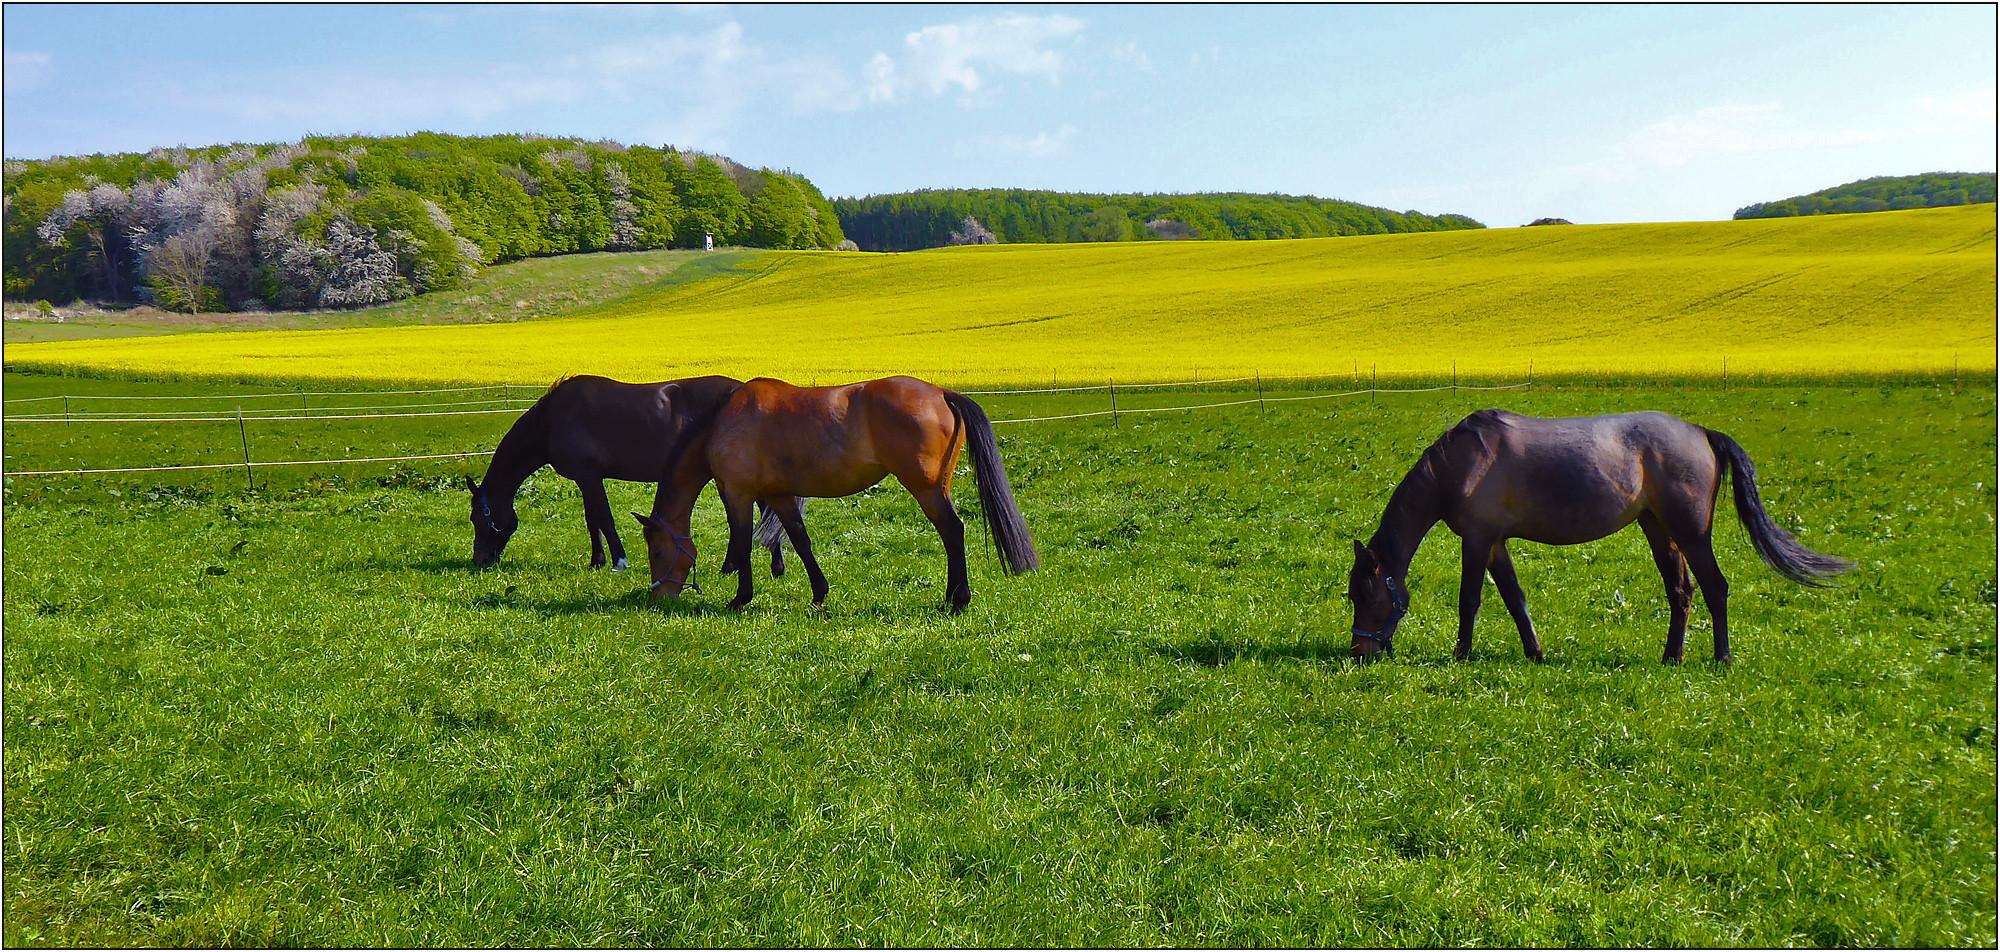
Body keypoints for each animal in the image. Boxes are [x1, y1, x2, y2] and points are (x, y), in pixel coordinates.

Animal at [470, 376, 796, 572]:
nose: (480, 561)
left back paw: (765, 566)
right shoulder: (586, 478)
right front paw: (597, 561)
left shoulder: (588, 475)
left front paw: (619, 561)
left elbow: (604, 517)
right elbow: (592, 520)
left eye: (478, 518)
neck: (551, 420)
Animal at [636, 376, 1048, 612]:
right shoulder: (780, 496)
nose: (659, 597)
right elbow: (801, 541)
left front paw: (740, 598)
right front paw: (819, 594)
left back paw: (958, 600)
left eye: (657, 551)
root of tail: (942, 393)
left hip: (927, 489)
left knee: (952, 532)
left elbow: (741, 542)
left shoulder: (737, 493)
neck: (723, 424)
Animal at [1352, 408, 1848, 660]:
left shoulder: (1476, 540)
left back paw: (1721, 658)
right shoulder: (1495, 544)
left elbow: (1469, 601)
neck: (1464, 463)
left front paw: (1462, 655)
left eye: (1369, 595)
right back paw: (1671, 656)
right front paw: (1535, 652)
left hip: (1691, 534)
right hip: (1659, 529)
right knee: (1681, 591)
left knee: (1715, 588)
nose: (1361, 651)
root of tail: (1702, 433)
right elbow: (1515, 599)